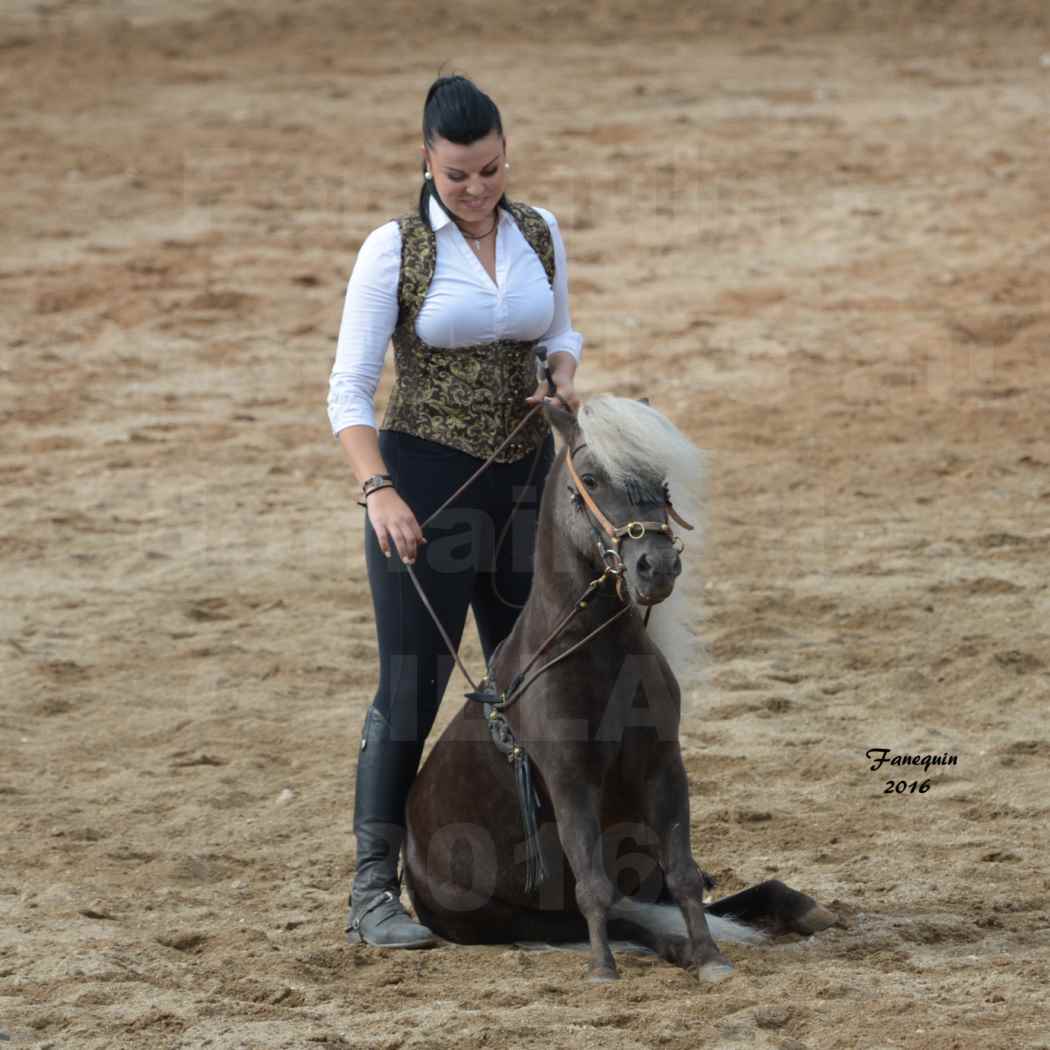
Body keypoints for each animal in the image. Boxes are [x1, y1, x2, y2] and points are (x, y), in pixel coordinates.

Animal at [403, 394, 835, 982]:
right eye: (589, 478)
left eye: (662, 483)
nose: (657, 566)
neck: (596, 656)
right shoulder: (570, 782)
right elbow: (595, 887)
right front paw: (604, 970)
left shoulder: (664, 766)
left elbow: (685, 874)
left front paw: (713, 958)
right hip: (510, 917)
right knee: (617, 917)